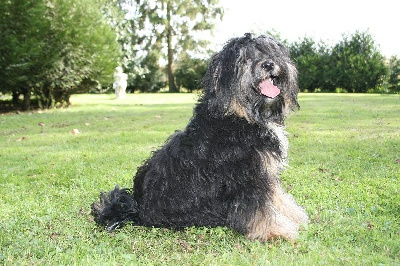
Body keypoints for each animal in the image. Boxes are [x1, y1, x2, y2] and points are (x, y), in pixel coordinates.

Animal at [93, 33, 310, 241]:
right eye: (244, 58)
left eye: (270, 51)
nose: (268, 64)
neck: (240, 115)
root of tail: (137, 208)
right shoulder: (246, 178)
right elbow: (260, 208)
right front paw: (276, 232)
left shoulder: (265, 173)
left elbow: (278, 197)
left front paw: (295, 217)